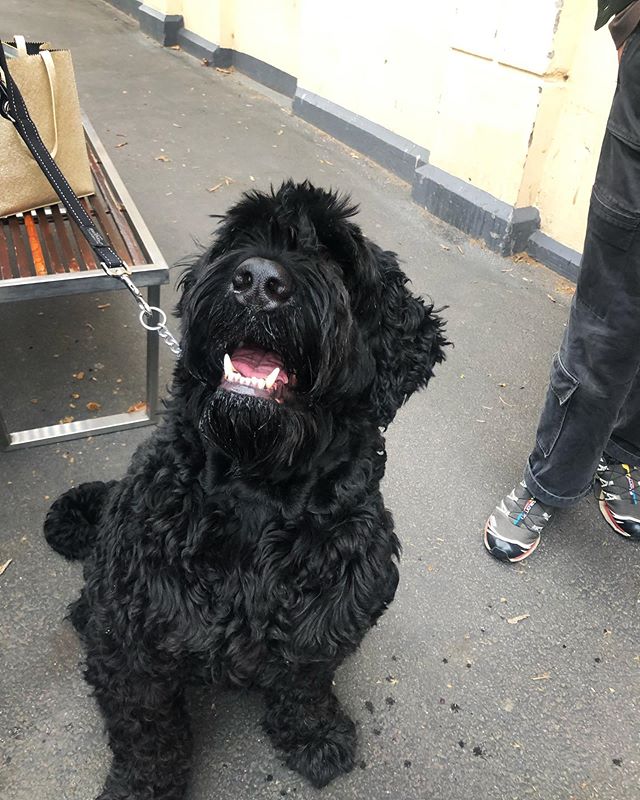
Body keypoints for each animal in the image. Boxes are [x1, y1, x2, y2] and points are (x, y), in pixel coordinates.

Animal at [45, 183, 448, 800]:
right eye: (242, 237)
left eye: (336, 257)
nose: (258, 280)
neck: (257, 493)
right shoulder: (132, 645)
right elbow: (147, 733)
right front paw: (143, 787)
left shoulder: (329, 618)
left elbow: (305, 686)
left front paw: (314, 736)